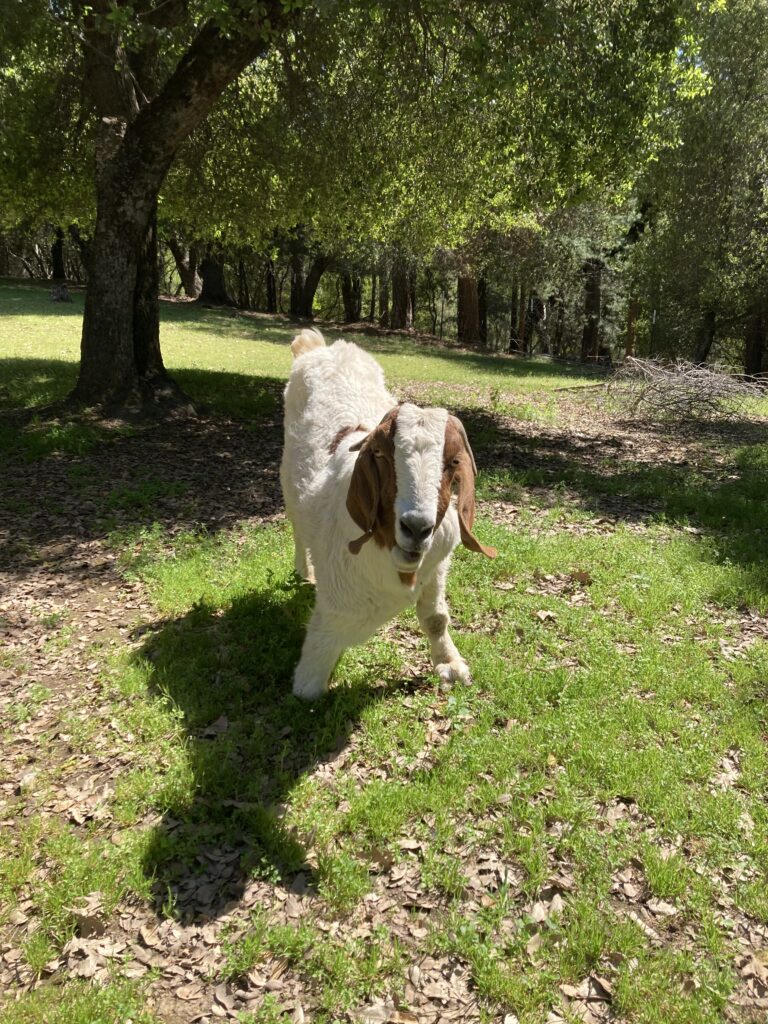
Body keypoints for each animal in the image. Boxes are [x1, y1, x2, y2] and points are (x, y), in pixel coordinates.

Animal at [280, 328, 496, 700]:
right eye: (380, 455)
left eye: (452, 462)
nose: (417, 528)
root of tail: (320, 348)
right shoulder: (335, 607)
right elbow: (311, 682)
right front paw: (309, 681)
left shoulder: (436, 567)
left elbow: (436, 617)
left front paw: (450, 664)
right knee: (296, 526)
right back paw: (303, 571)